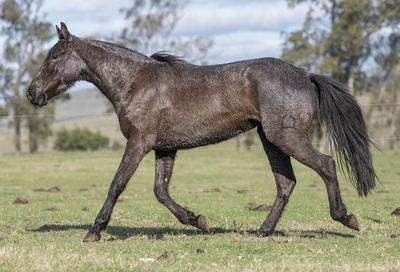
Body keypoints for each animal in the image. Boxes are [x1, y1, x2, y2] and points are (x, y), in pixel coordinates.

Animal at [26, 22, 376, 241]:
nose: (32, 93)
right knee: (286, 183)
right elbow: (161, 192)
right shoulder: (164, 148)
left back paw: (346, 218)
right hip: (271, 140)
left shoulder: (138, 143)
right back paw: (263, 231)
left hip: (286, 138)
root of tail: (304, 73)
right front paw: (199, 221)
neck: (134, 82)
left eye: (54, 55)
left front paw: (94, 231)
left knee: (325, 165)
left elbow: (117, 185)